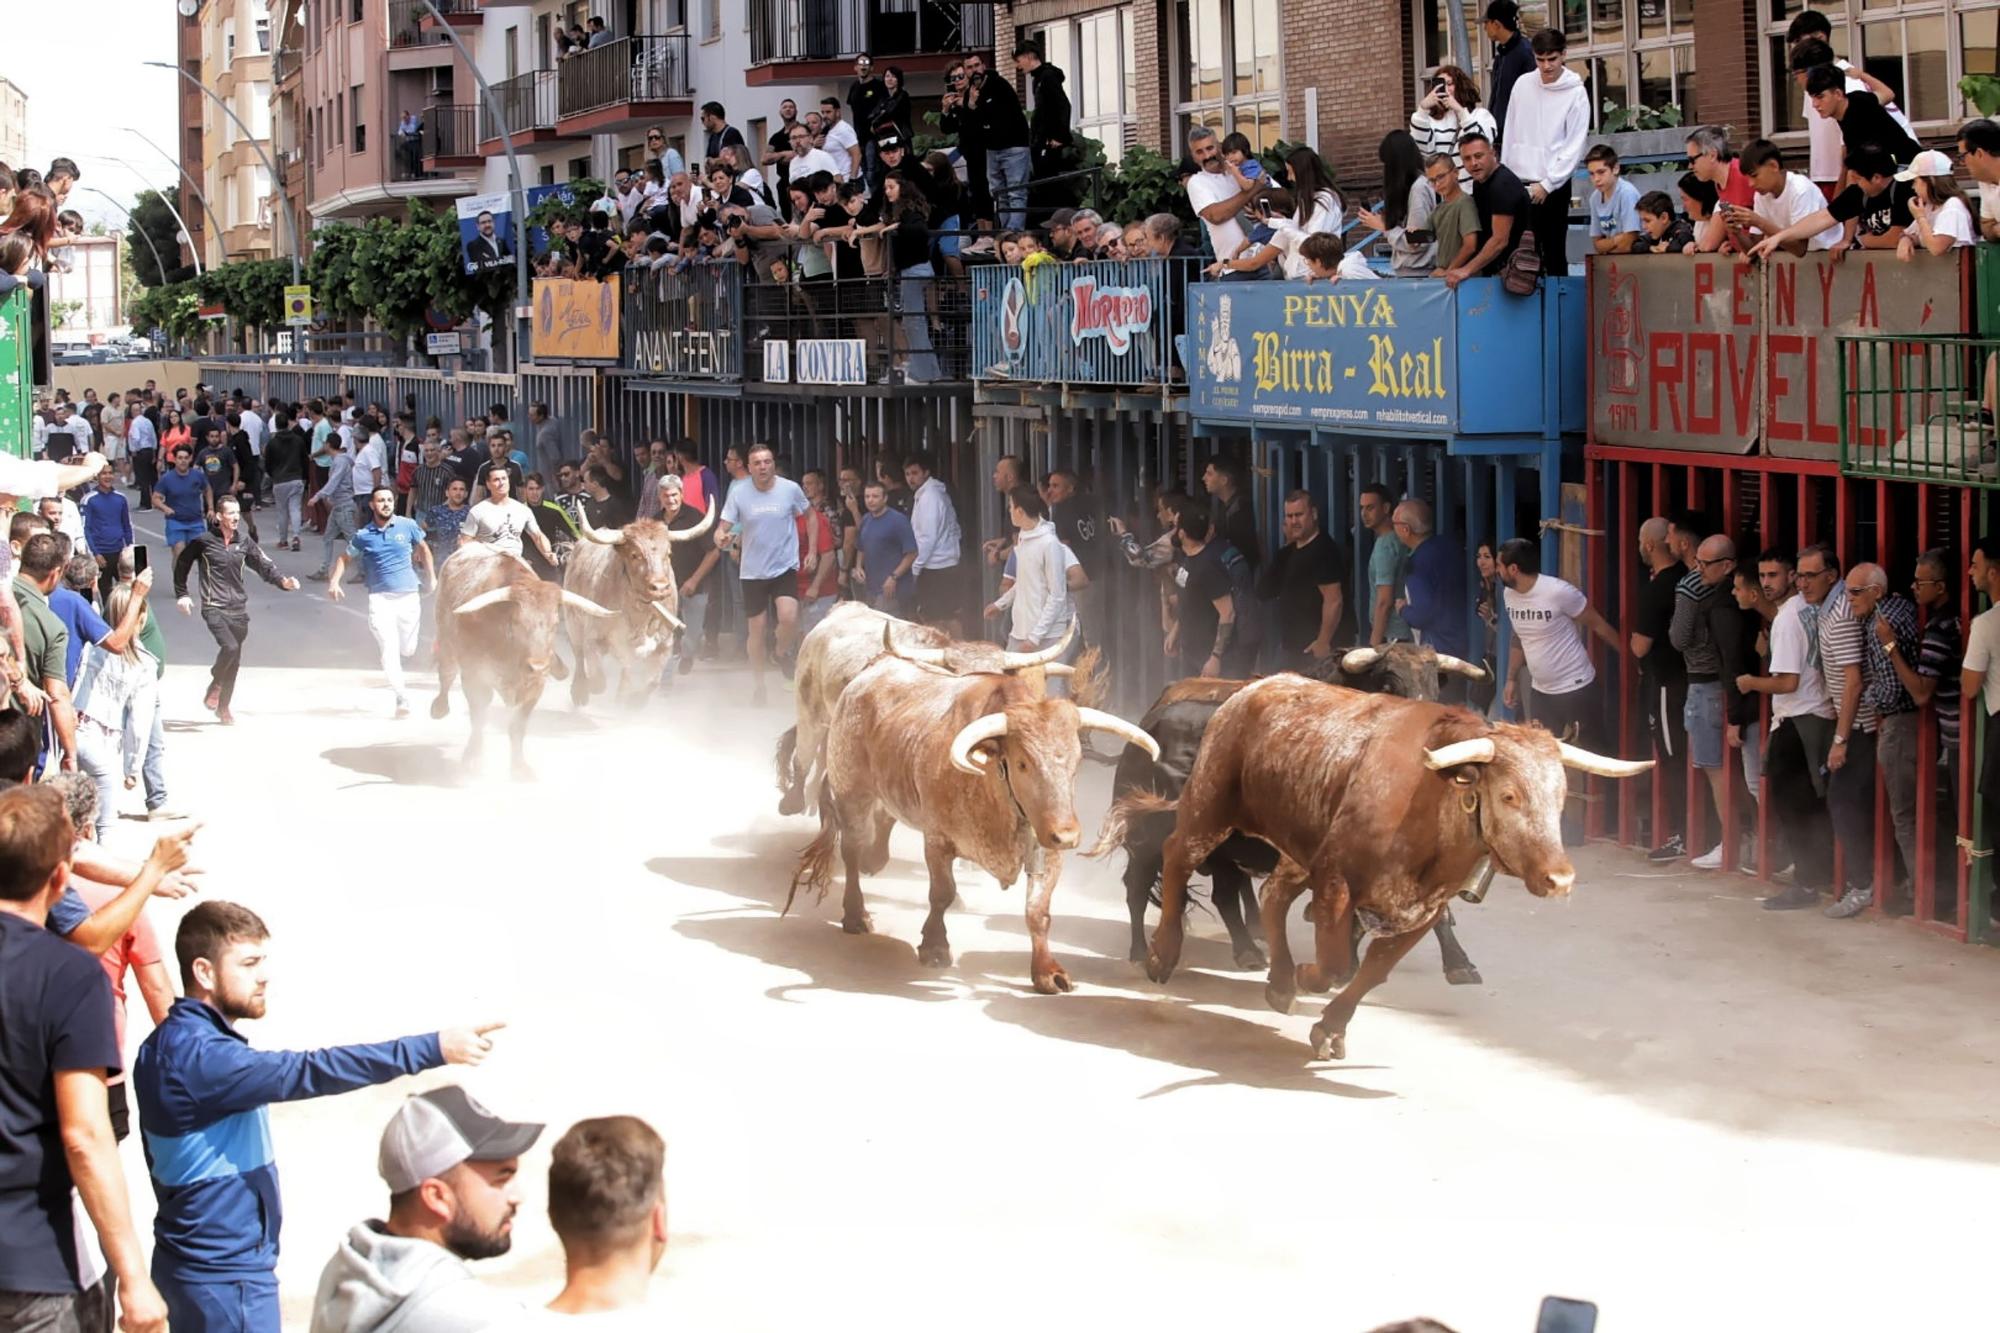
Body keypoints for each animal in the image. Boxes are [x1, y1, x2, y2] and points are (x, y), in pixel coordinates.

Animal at [568, 498, 716, 704]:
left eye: (668, 553)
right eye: (634, 555)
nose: (660, 587)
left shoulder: (664, 645)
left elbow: (652, 682)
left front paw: (634, 702)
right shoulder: (593, 638)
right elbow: (598, 680)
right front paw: (592, 689)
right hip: (573, 623)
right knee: (578, 655)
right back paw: (580, 692)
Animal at [784, 640, 1160, 992]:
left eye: (1076, 761)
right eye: (1023, 763)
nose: (1068, 835)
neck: (994, 781)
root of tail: (873, 668)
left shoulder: (1047, 849)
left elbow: (1038, 912)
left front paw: (1047, 971)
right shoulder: (937, 840)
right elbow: (942, 894)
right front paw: (935, 946)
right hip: (852, 793)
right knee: (850, 850)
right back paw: (855, 913)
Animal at [1136, 676, 1648, 1056]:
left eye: (1560, 796)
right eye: (1509, 795)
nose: (1560, 879)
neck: (1428, 802)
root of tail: (1251, 690)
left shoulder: (1422, 909)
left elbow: (1372, 972)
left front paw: (1330, 1028)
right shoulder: (1336, 883)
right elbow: (1337, 963)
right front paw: (1309, 977)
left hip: (1297, 849)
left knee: (1272, 896)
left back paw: (1279, 982)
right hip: (1209, 807)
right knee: (1177, 856)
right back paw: (1162, 952)